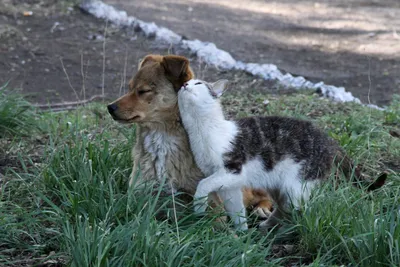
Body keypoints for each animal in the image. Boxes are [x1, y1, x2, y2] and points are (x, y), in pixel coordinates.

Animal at [108, 54, 274, 220]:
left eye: (143, 90)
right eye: (129, 87)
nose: (110, 107)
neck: (162, 140)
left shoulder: (212, 201)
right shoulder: (140, 197)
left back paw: (262, 208)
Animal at [177, 78, 386, 231]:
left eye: (198, 83)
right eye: (186, 83)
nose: (184, 84)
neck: (204, 130)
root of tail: (329, 141)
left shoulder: (232, 170)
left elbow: (203, 184)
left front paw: (198, 206)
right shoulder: (229, 184)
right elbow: (236, 210)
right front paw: (240, 235)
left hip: (296, 186)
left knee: (296, 212)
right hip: (277, 186)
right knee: (282, 209)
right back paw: (266, 226)